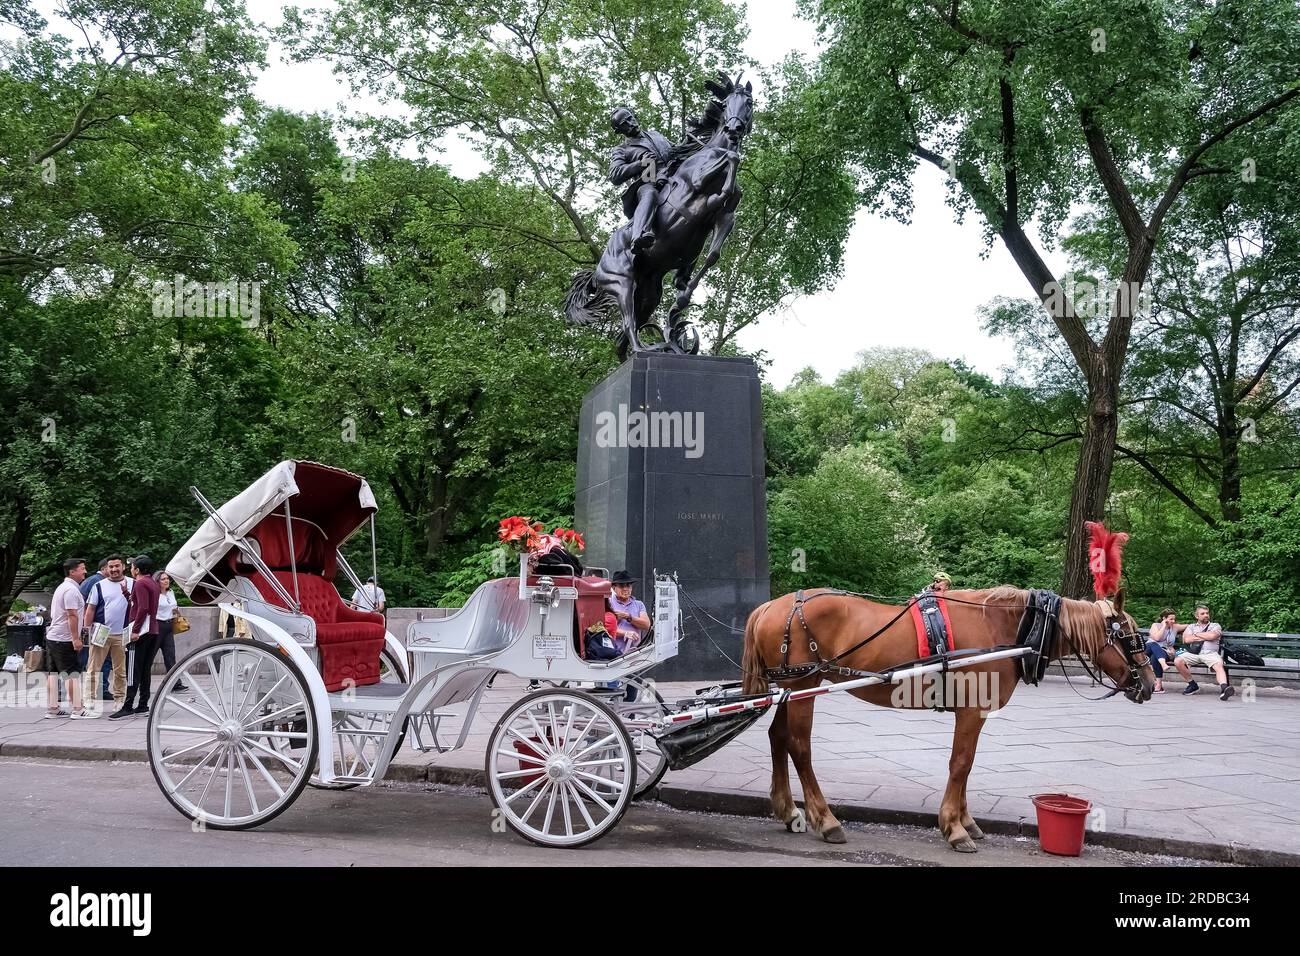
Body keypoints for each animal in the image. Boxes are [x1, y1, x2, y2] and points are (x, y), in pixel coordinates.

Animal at [738, 590, 1154, 853]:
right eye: (1130, 637)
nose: (1150, 683)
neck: (1006, 629)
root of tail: (771, 605)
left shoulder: (974, 713)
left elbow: (966, 767)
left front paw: (965, 821)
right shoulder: (971, 712)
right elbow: (961, 764)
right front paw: (954, 829)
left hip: (791, 689)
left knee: (777, 737)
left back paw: (788, 810)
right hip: (804, 684)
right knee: (799, 747)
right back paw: (825, 820)